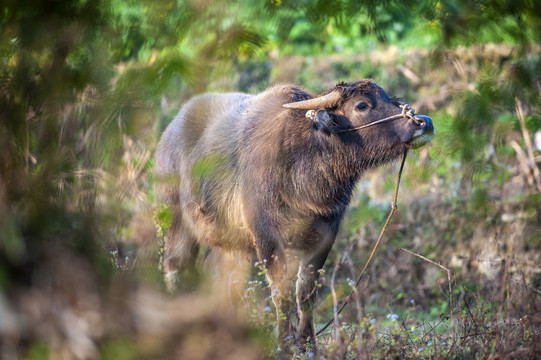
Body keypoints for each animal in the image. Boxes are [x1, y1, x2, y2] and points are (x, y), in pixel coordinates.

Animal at [154, 81, 432, 346]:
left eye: (388, 99)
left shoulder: (324, 237)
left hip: (234, 247)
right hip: (175, 226)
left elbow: (305, 293)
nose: (424, 122)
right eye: (362, 105)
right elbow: (282, 294)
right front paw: (284, 343)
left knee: (226, 284)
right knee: (176, 272)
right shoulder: (267, 239)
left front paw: (307, 343)